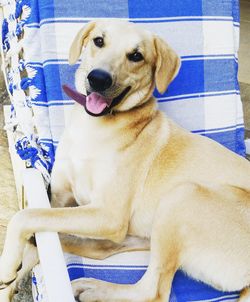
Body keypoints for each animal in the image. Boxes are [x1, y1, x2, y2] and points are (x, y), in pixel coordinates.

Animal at [0, 19, 250, 302]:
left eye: (136, 56)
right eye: (98, 41)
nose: (98, 78)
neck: (93, 127)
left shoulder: (107, 214)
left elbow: (25, 216)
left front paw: (7, 265)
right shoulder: (59, 198)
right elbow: (39, 233)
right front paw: (12, 278)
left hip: (183, 195)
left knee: (152, 291)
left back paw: (95, 288)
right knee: (110, 245)